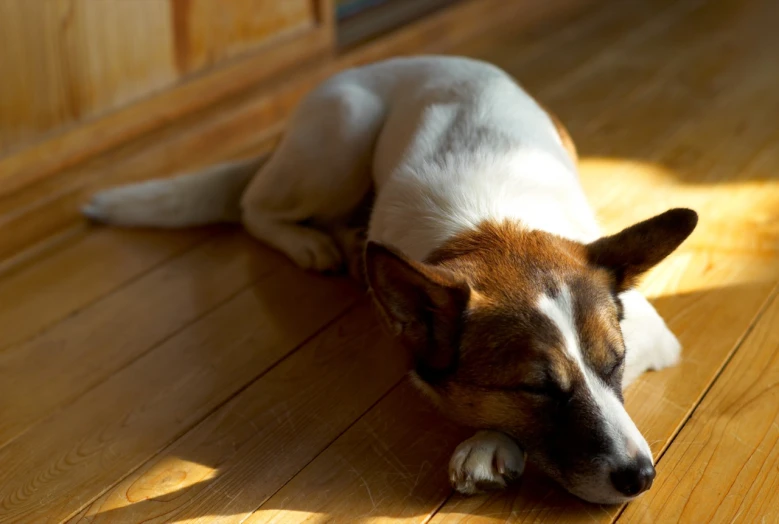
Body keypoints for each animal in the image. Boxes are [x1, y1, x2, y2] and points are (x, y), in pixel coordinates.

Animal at [82, 56, 696, 504]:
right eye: (535, 389)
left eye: (615, 362)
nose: (642, 477)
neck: (493, 224)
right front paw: (494, 440)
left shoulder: (653, 332)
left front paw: (488, 442)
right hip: (342, 136)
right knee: (253, 206)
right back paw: (311, 244)